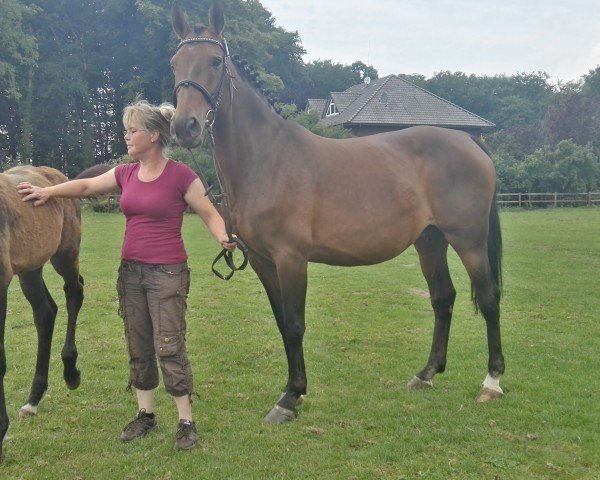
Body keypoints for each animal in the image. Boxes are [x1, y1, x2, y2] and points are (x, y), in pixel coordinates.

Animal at [0, 166, 83, 462]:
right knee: (46, 313)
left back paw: (71, 371)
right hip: (30, 268)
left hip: (65, 254)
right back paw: (33, 400)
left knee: (74, 292)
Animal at [171, 0, 504, 424]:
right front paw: (292, 391)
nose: (185, 126)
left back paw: (491, 382)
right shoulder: (262, 259)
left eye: (214, 61)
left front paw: (290, 398)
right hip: (430, 242)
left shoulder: (291, 257)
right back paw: (426, 374)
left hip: (469, 241)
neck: (267, 158)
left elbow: (295, 324)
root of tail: (467, 139)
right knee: (442, 298)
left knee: (489, 297)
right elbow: (281, 323)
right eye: (175, 63)